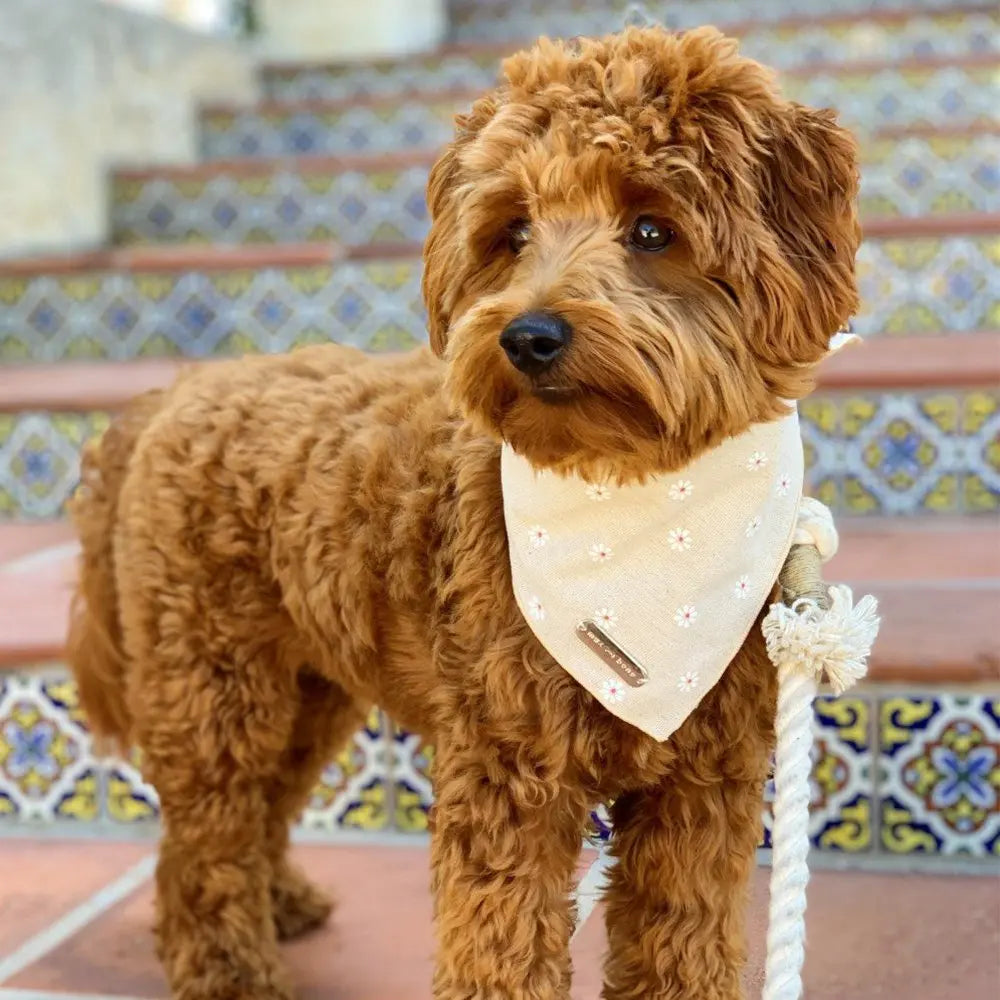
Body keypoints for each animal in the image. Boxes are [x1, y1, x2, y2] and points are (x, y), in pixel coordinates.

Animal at [68, 27, 860, 1000]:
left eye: (652, 229)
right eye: (512, 232)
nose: (529, 336)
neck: (633, 508)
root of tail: (173, 393)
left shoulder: (701, 785)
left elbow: (685, 939)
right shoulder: (507, 771)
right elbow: (501, 948)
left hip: (307, 688)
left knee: (261, 807)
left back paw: (281, 901)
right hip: (213, 680)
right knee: (204, 838)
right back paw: (230, 968)